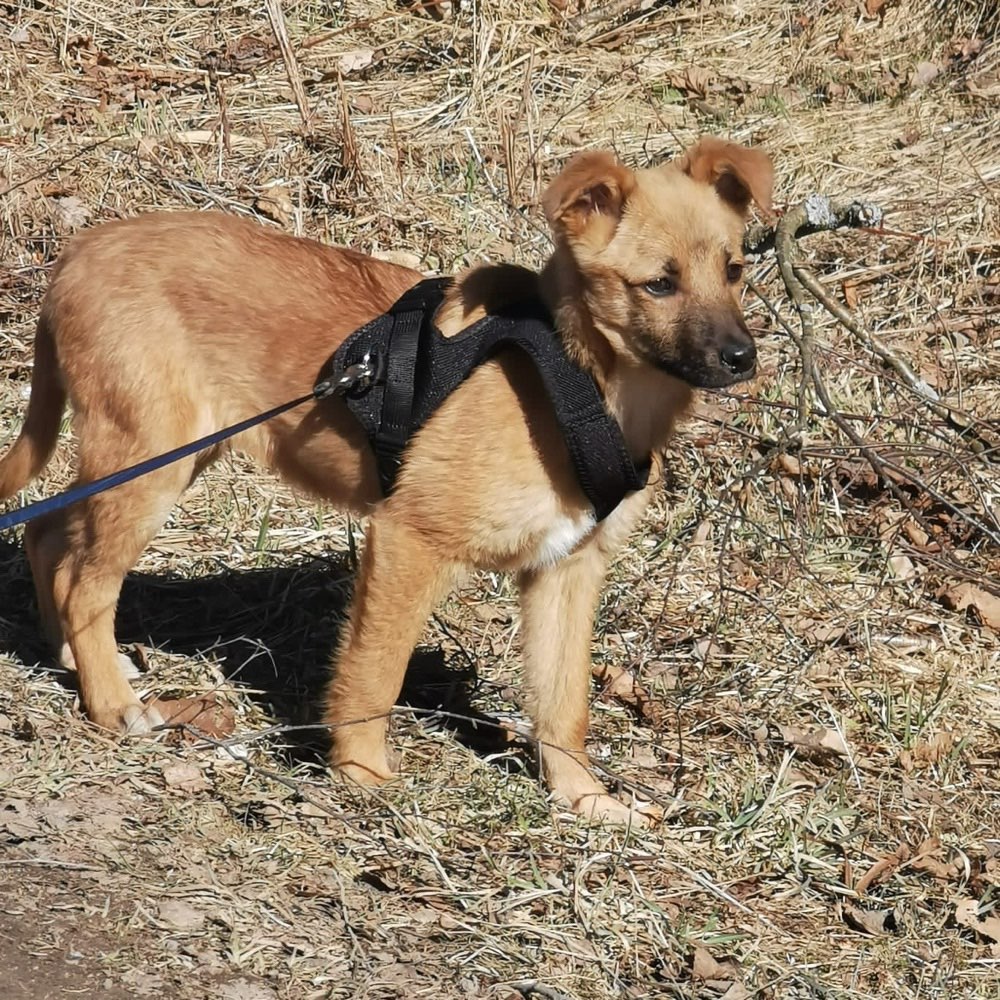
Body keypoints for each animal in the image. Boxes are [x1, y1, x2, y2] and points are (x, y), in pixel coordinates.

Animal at [0, 143, 772, 828]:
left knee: (46, 534)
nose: (743, 358)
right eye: (659, 283)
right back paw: (109, 703)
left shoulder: (566, 571)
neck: (576, 383)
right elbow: (375, 673)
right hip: (150, 464)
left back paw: (68, 655)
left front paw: (584, 800)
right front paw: (361, 775)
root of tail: (76, 255)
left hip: (162, 458)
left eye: (734, 270)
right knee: (87, 584)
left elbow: (563, 703)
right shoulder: (408, 542)